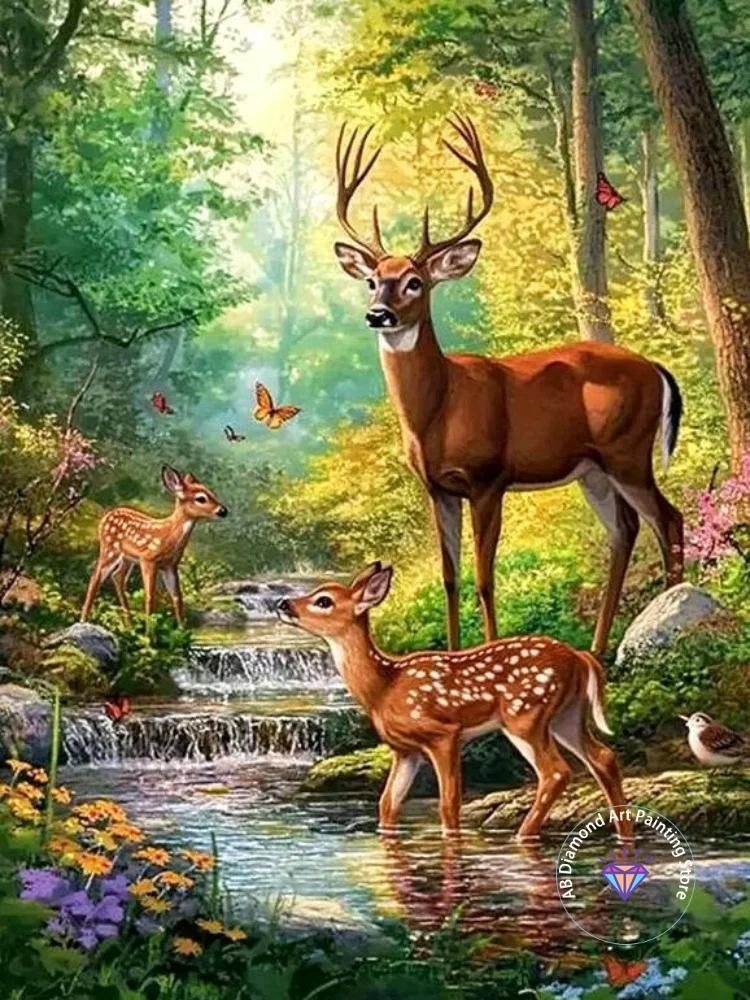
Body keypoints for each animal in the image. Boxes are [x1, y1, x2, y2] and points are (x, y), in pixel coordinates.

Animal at [80, 466, 227, 627]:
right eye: (201, 498)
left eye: (211, 492)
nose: (223, 511)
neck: (169, 537)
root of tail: (105, 517)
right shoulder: (148, 559)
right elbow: (150, 596)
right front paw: (150, 630)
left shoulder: (170, 565)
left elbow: (177, 596)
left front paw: (182, 628)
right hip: (110, 548)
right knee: (96, 577)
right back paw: (83, 620)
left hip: (127, 558)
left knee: (117, 577)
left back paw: (130, 624)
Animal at [276, 562, 632, 842]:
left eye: (324, 600)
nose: (283, 603)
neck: (384, 687)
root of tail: (579, 656)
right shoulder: (405, 750)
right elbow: (388, 803)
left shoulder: (443, 733)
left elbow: (448, 803)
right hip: (565, 716)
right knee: (603, 757)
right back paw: (623, 835)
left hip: (525, 714)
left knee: (556, 772)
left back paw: (523, 836)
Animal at [333, 115, 683, 655]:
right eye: (372, 280)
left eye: (415, 282)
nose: (378, 314)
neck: (437, 410)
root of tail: (657, 369)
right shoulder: (437, 488)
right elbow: (449, 578)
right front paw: (454, 657)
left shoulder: (488, 478)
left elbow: (484, 578)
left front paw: (490, 653)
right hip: (592, 469)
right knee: (625, 530)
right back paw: (598, 647)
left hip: (627, 450)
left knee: (667, 520)